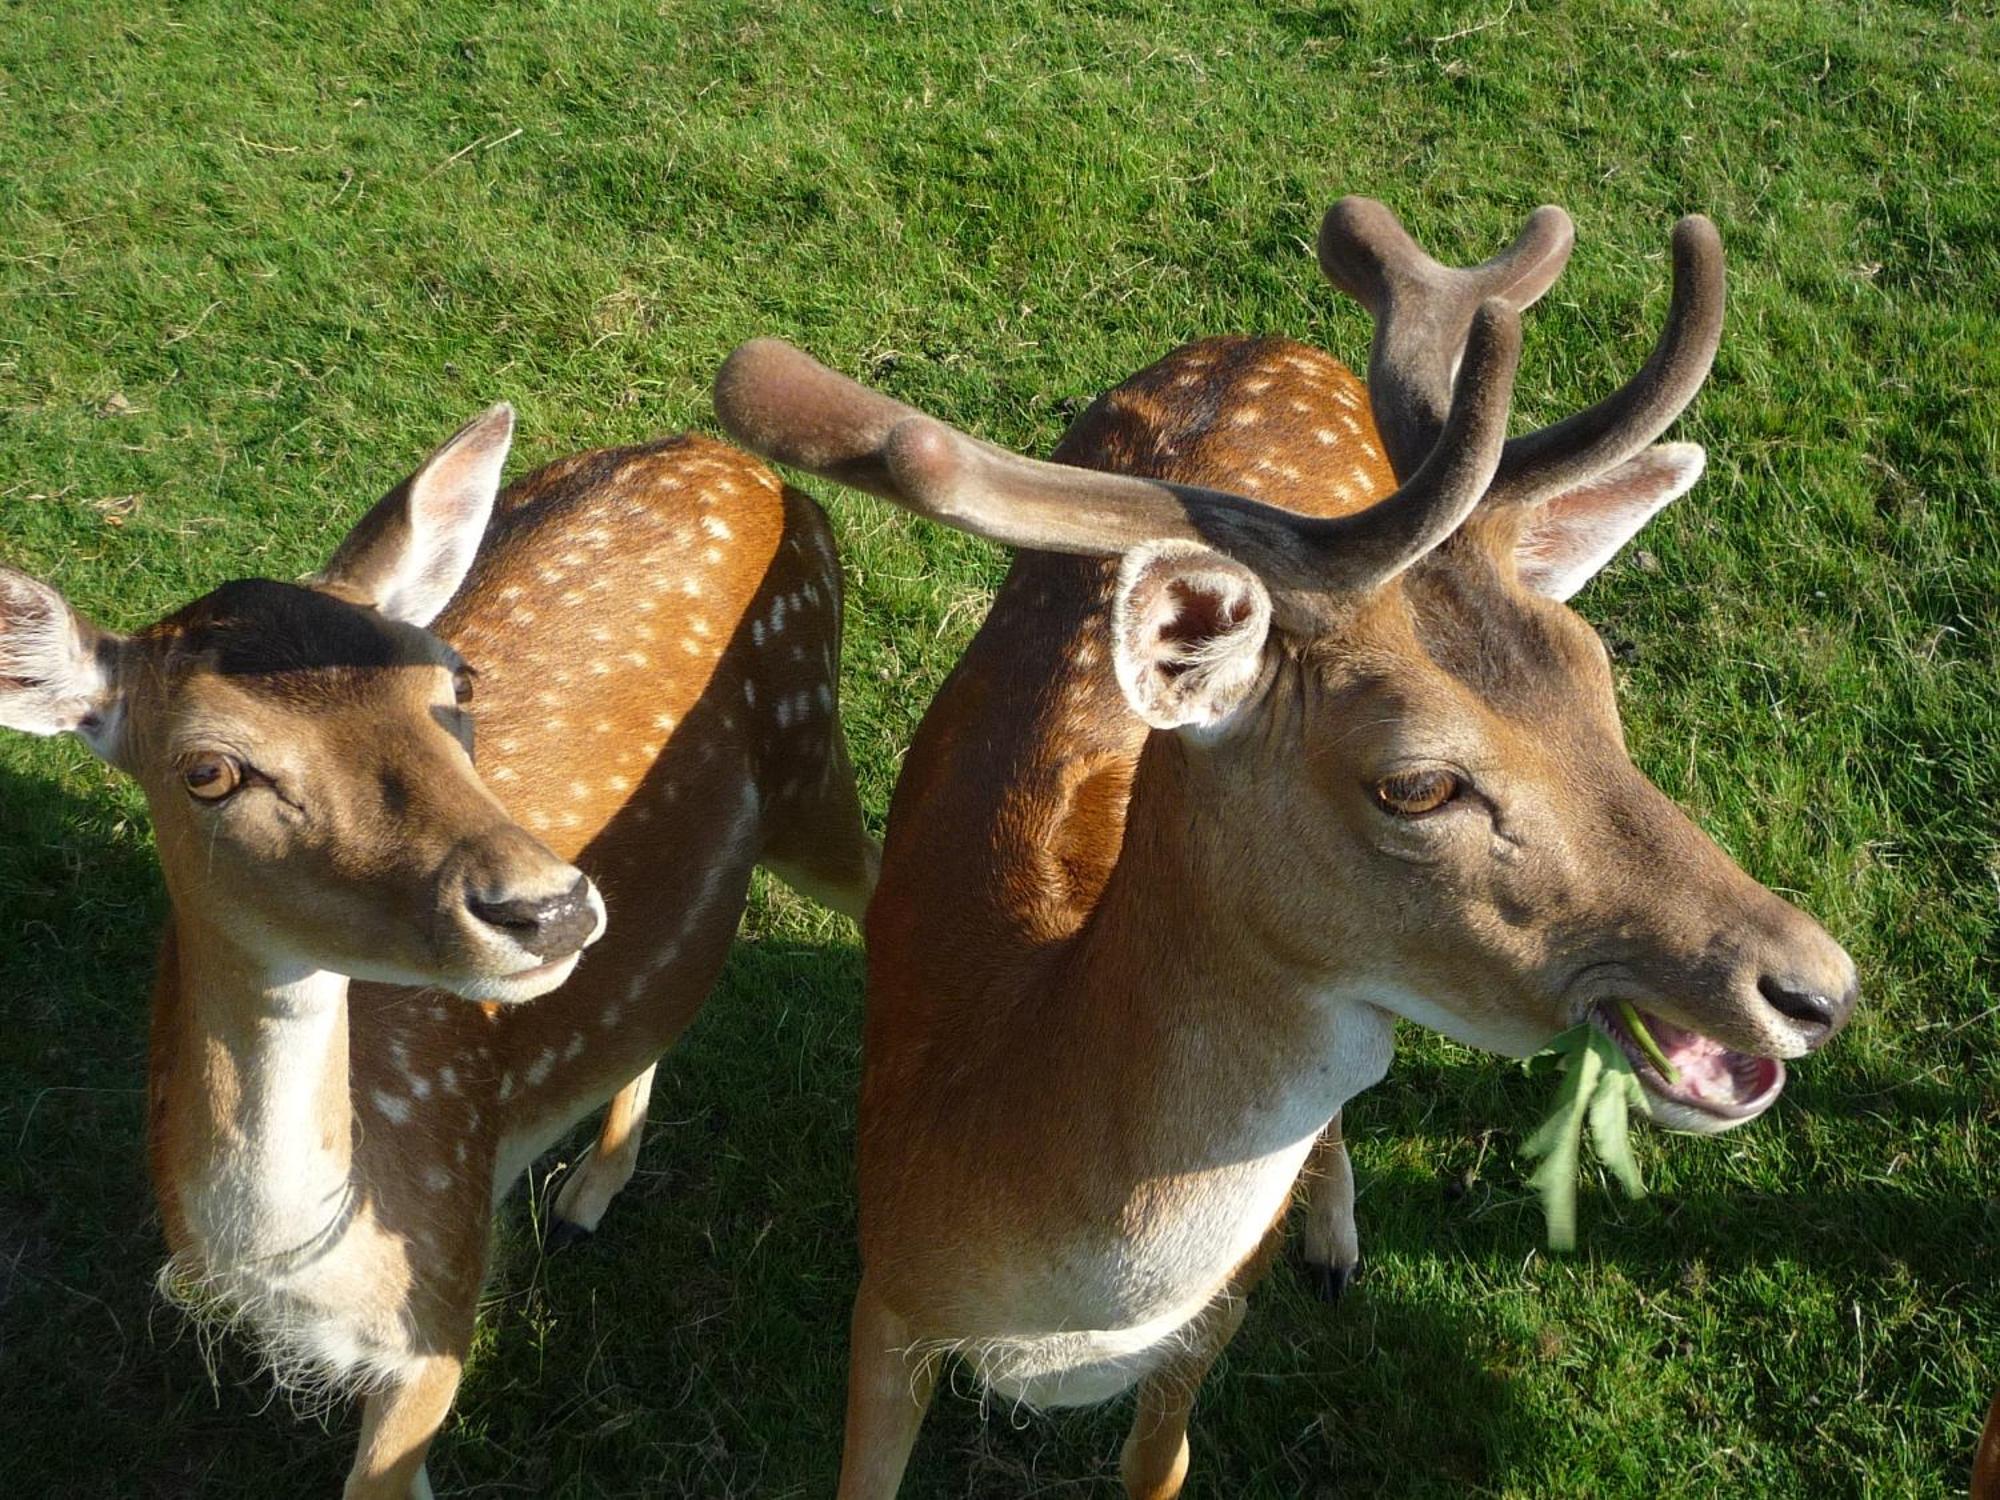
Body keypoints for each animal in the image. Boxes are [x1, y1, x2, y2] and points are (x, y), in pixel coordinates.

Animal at [0, 406, 876, 1496]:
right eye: (207, 770)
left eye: (455, 679)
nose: (550, 908)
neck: (313, 1268)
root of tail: (743, 465)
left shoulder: (445, 1291)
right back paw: (588, 1192)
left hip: (813, 754)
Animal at [716, 200, 1856, 1500]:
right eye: (1415, 783)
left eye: (1595, 678)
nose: (1816, 988)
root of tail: (1266, 341)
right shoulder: (885, 1301)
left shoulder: (1208, 1326)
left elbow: (1159, 1465)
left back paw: (1331, 1237)